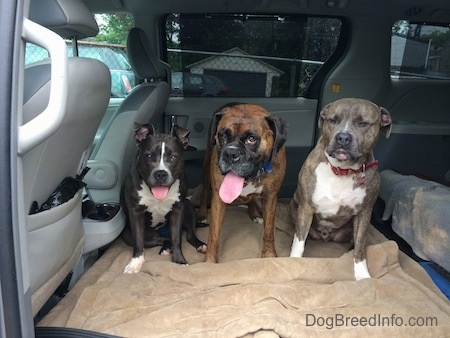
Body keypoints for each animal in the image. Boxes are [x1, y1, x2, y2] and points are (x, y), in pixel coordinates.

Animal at [121, 123, 206, 274]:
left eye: (173, 157)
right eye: (148, 156)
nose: (161, 173)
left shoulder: (178, 209)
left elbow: (177, 239)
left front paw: (179, 261)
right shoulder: (136, 213)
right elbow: (138, 241)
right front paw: (135, 263)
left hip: (188, 207)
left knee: (188, 235)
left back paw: (199, 245)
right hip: (129, 235)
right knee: (162, 239)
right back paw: (166, 247)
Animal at [200, 101, 290, 262]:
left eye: (251, 139)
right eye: (222, 136)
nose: (230, 153)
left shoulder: (271, 197)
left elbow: (269, 232)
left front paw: (269, 255)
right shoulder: (218, 198)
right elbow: (213, 235)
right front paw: (209, 261)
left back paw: (254, 214)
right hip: (206, 167)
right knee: (204, 191)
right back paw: (202, 215)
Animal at [290, 97, 392, 280]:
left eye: (363, 123)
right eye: (333, 120)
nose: (343, 137)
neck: (342, 170)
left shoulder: (364, 212)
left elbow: (360, 246)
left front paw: (362, 274)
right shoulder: (306, 208)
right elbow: (299, 242)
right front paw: (293, 262)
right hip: (295, 208)